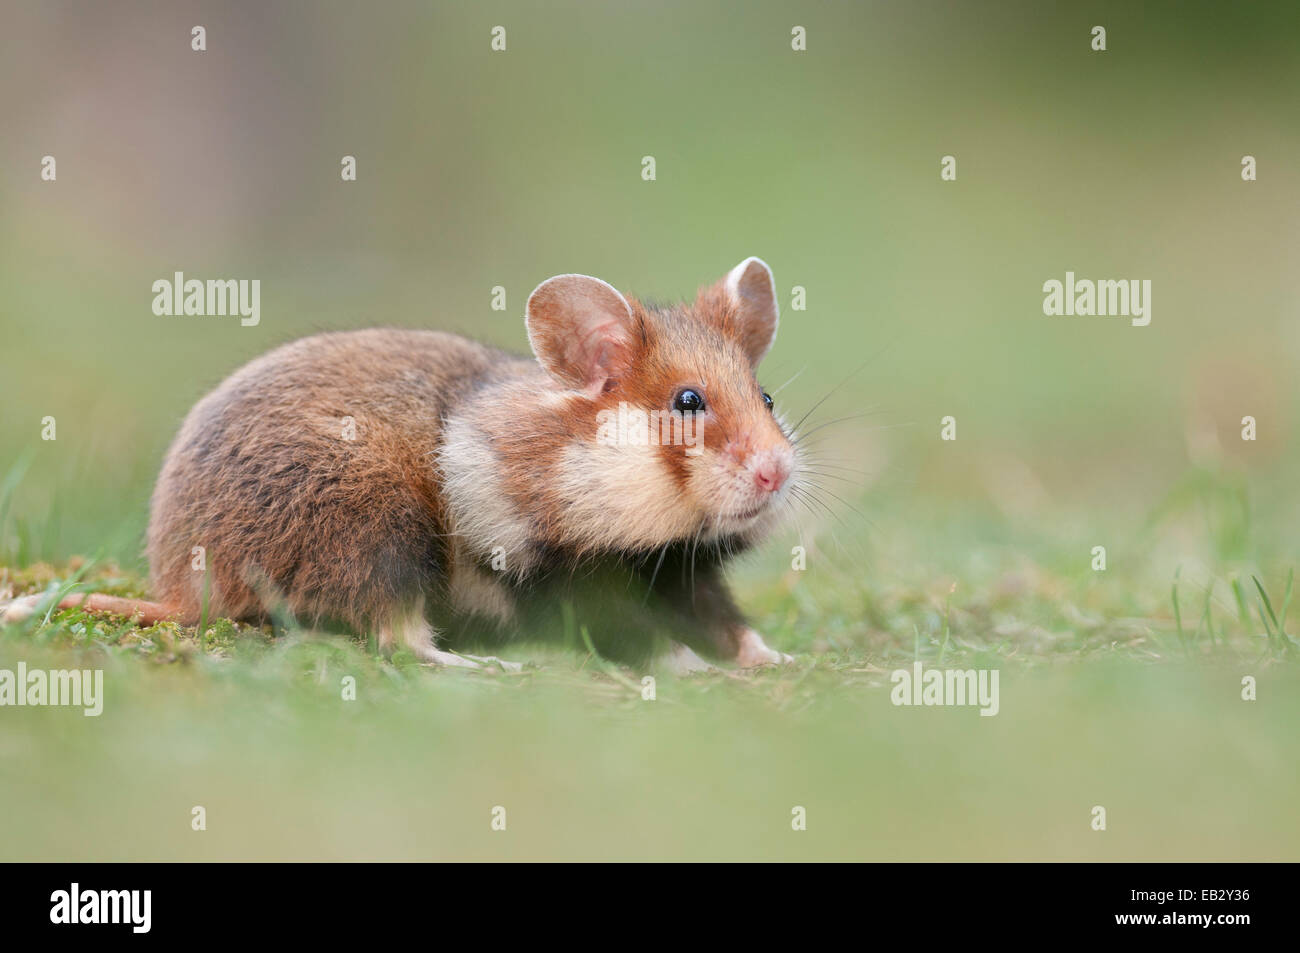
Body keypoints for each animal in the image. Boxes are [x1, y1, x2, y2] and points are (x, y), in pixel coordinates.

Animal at [7, 256, 800, 665]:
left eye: (765, 394)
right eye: (688, 402)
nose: (778, 473)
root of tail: (182, 591)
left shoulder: (684, 572)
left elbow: (727, 623)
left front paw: (772, 659)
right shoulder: (566, 577)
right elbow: (641, 636)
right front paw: (695, 669)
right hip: (383, 533)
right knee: (400, 640)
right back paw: (479, 665)